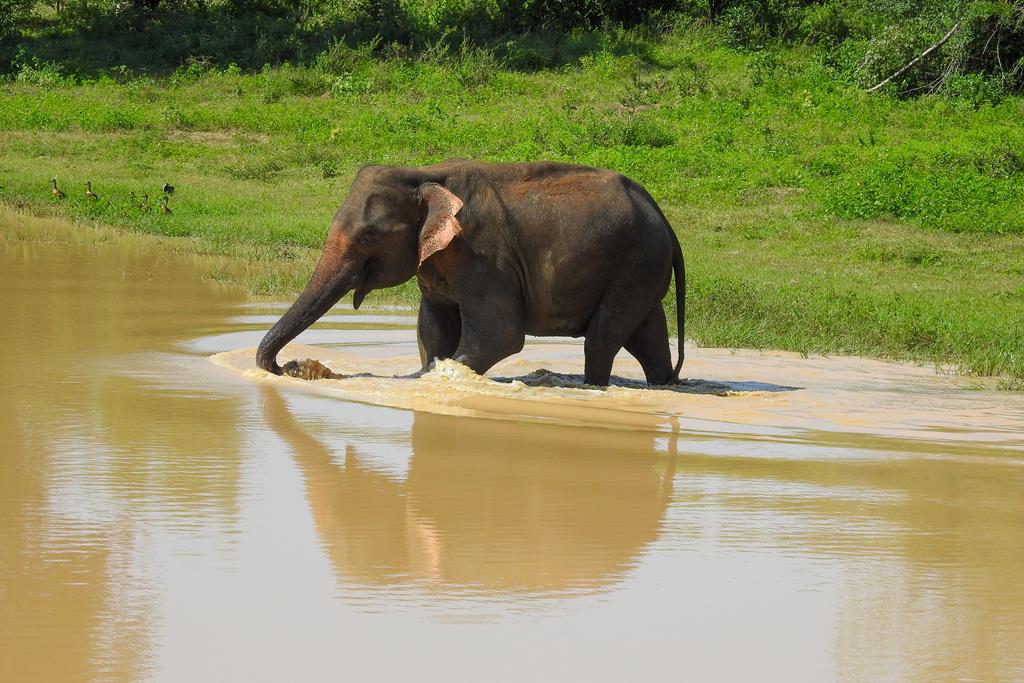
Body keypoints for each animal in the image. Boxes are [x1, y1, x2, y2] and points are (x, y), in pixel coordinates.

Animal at [258, 157, 688, 387]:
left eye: (368, 236)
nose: (290, 366)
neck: (423, 174)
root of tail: (664, 219)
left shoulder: (484, 255)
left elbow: (501, 334)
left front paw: (426, 378)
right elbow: (432, 328)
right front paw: (427, 369)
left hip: (634, 263)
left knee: (602, 337)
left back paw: (593, 386)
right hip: (642, 269)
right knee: (646, 334)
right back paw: (664, 383)